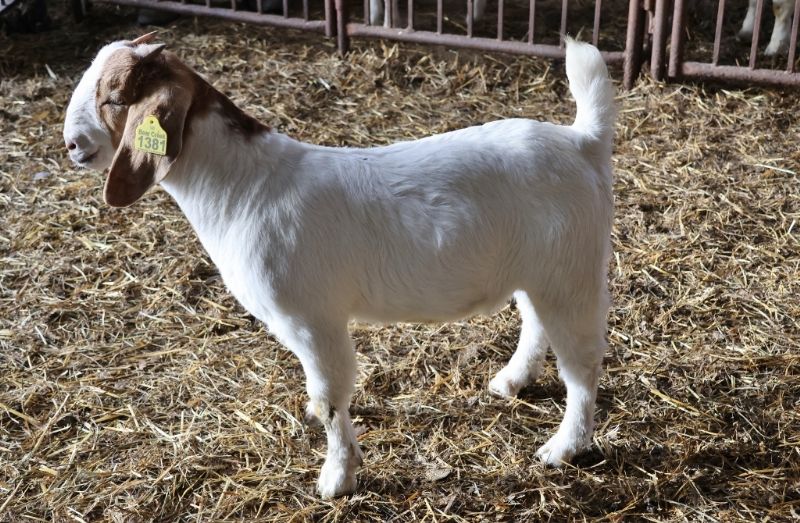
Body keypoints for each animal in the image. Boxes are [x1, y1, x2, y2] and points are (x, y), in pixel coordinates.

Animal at [63, 34, 615, 498]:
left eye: (114, 97)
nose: (71, 144)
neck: (244, 185)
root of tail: (581, 141)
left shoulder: (311, 319)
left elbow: (330, 396)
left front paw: (336, 478)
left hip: (572, 273)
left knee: (582, 364)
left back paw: (563, 447)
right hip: (538, 272)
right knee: (535, 323)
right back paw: (511, 381)